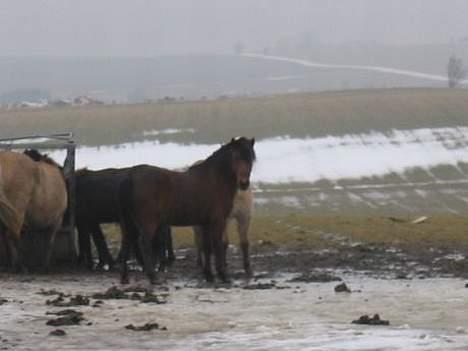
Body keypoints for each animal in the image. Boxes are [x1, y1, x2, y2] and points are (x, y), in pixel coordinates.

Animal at [118, 136, 256, 284]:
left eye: (251, 157)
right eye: (235, 156)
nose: (244, 183)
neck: (215, 179)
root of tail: (131, 177)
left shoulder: (205, 223)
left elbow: (207, 247)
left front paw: (209, 275)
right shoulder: (218, 221)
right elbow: (218, 245)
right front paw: (223, 275)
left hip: (130, 223)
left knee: (127, 243)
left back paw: (125, 278)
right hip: (148, 222)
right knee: (145, 244)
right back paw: (153, 277)